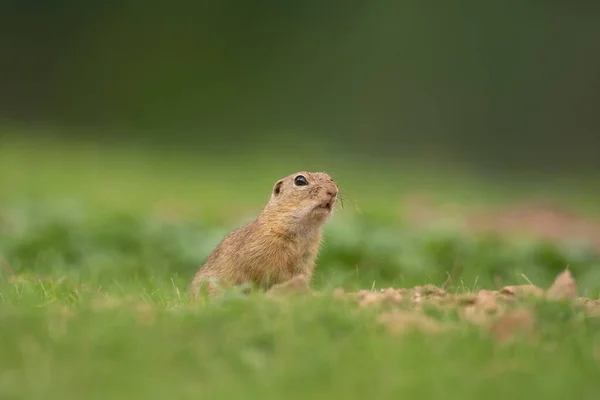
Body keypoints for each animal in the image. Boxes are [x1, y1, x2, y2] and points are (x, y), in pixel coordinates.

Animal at [190, 170, 338, 296]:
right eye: (300, 180)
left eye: (330, 178)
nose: (334, 191)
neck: (302, 230)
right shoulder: (264, 254)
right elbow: (273, 273)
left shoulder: (306, 258)